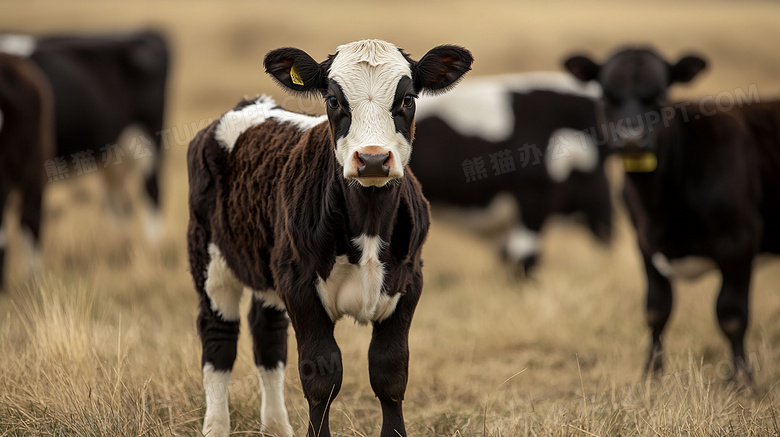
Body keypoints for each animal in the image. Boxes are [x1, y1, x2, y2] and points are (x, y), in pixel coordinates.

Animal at [0, 30, 170, 242]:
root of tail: (145, 33)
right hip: (113, 157)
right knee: (117, 204)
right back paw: (120, 241)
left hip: (147, 144)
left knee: (151, 194)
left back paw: (154, 245)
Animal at [187, 39, 476, 434]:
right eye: (334, 100)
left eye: (407, 98)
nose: (373, 159)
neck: (369, 222)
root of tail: (249, 105)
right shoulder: (299, 285)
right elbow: (322, 375)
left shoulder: (409, 283)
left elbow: (390, 372)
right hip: (210, 258)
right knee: (218, 338)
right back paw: (216, 426)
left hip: (267, 268)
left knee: (268, 335)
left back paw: (277, 427)